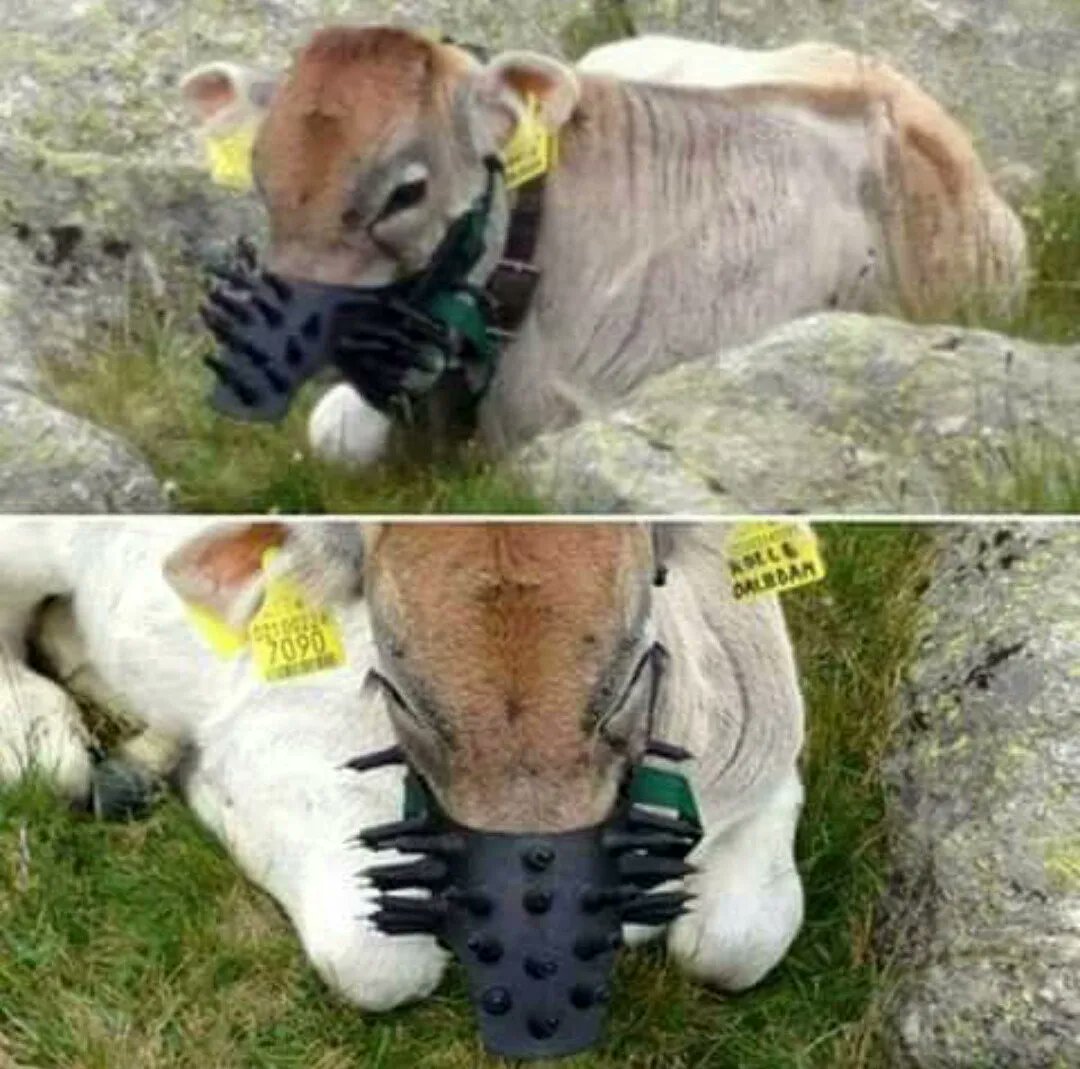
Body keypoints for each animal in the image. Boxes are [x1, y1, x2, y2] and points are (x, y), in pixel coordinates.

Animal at [0, 519, 804, 1010]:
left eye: (633, 647)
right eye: (397, 673)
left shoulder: (774, 776)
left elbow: (736, 942)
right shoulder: (277, 755)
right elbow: (377, 964)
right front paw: (200, 787)